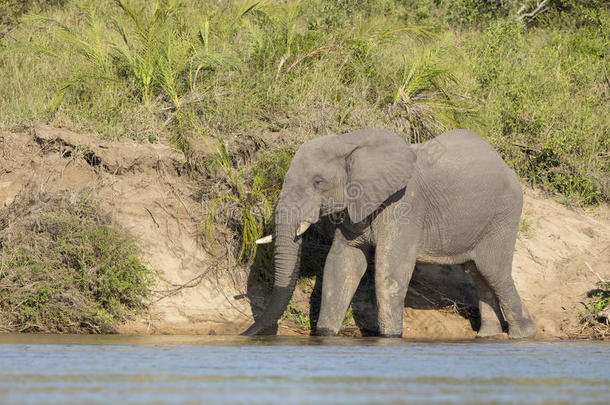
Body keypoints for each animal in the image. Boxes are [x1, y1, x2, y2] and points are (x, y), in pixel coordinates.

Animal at [242, 127, 536, 338]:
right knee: (478, 274)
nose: (246, 334)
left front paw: (391, 338)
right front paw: (325, 335)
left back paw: (523, 335)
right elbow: (342, 262)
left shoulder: (405, 203)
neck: (350, 142)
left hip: (503, 216)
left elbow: (389, 270)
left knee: (493, 270)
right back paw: (487, 336)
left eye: (318, 182)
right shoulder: (357, 202)